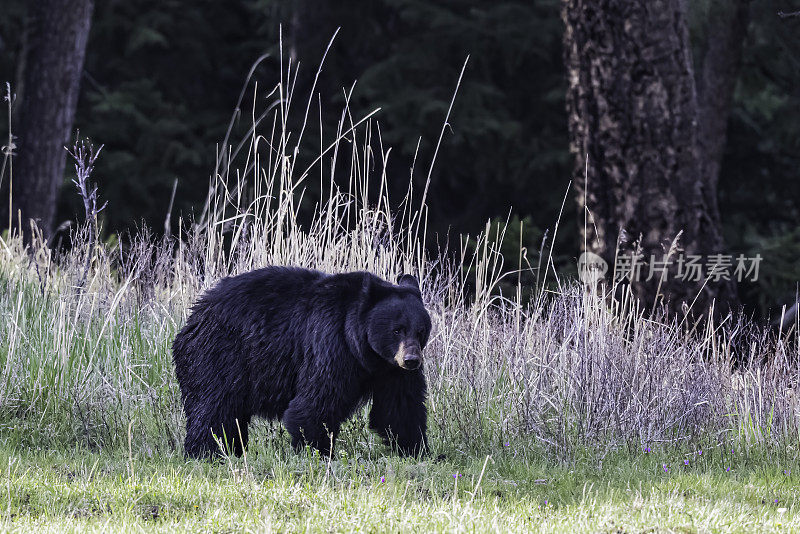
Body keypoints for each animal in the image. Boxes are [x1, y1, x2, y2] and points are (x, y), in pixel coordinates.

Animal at [170, 268, 432, 460]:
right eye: (397, 330)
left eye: (420, 331)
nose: (411, 360)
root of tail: (193, 318)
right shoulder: (330, 344)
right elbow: (317, 401)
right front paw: (317, 451)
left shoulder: (391, 371)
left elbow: (399, 407)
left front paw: (416, 450)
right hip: (218, 356)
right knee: (214, 407)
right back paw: (206, 452)